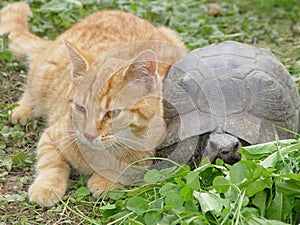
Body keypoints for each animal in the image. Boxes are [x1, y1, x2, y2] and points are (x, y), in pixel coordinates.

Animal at [0, 2, 186, 207]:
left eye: (112, 113)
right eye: (81, 108)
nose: (88, 135)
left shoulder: (152, 150)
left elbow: (128, 165)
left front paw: (104, 181)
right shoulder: (52, 135)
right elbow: (51, 162)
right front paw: (47, 186)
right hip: (44, 74)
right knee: (31, 84)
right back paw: (23, 110)